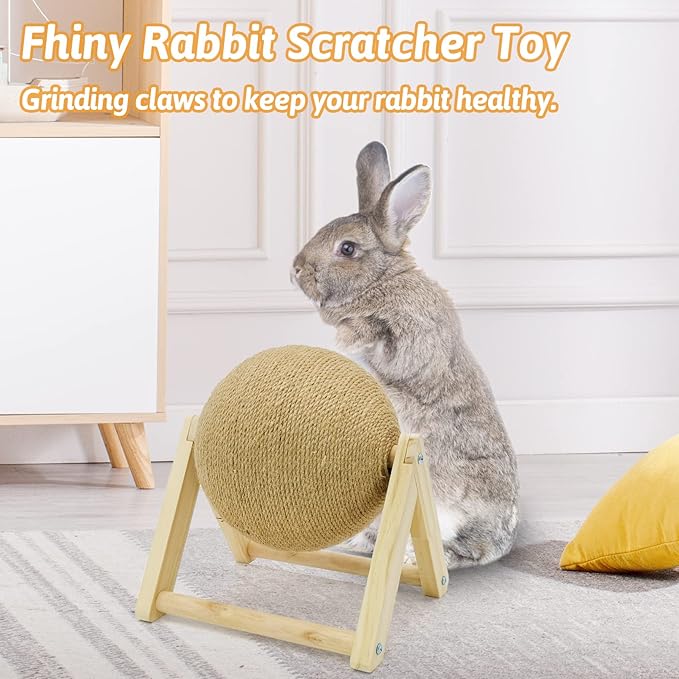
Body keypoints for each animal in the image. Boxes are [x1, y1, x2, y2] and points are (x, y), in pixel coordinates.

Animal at [291, 141, 519, 569]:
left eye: (347, 248)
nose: (296, 269)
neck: (382, 281)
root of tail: (505, 539)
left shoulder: (414, 338)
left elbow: (384, 342)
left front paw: (346, 336)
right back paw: (356, 544)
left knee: (466, 550)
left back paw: (417, 559)